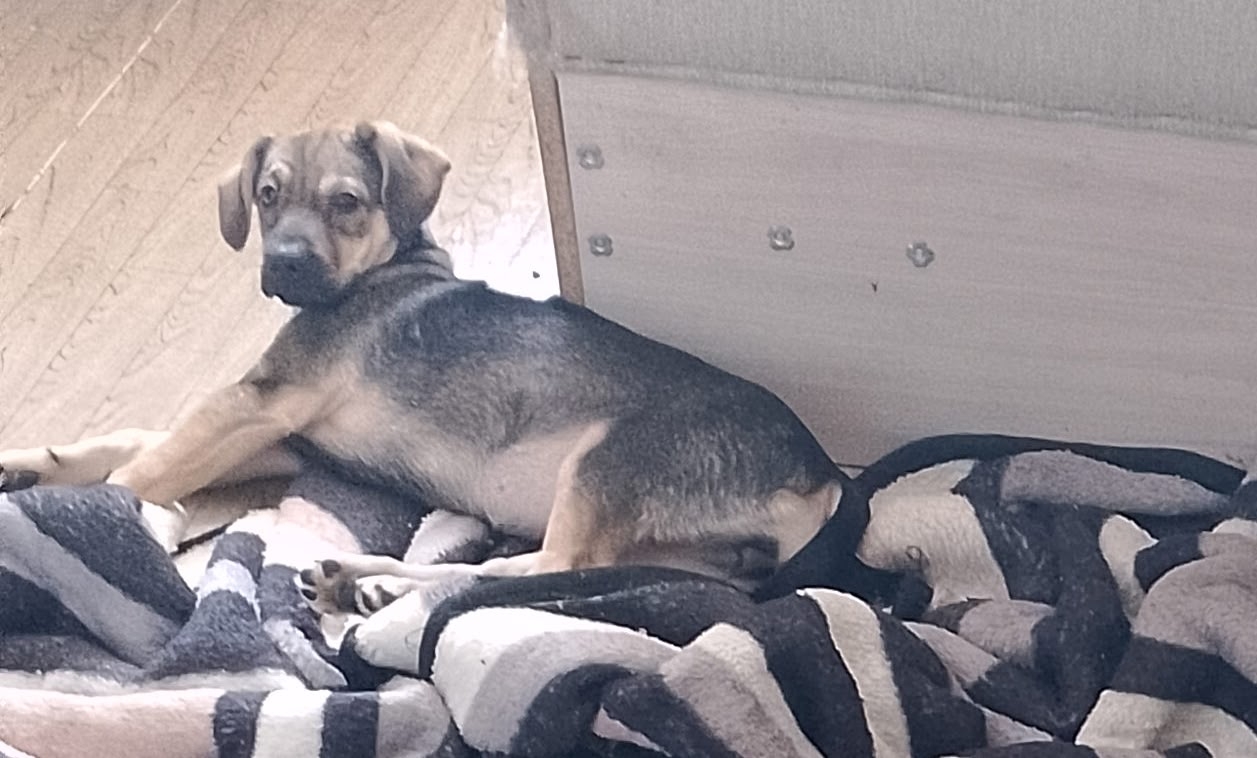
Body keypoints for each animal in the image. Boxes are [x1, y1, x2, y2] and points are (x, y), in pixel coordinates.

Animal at [0, 121, 855, 612]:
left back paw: (372, 582)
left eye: (346, 203)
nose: (283, 265)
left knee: (549, 568)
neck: (383, 266)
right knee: (569, 574)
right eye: (267, 196)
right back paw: (362, 578)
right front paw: (31, 465)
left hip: (605, 464)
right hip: (695, 557)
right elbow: (136, 439)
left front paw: (83, 516)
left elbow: (143, 468)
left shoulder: (264, 402)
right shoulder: (285, 438)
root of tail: (823, 478)